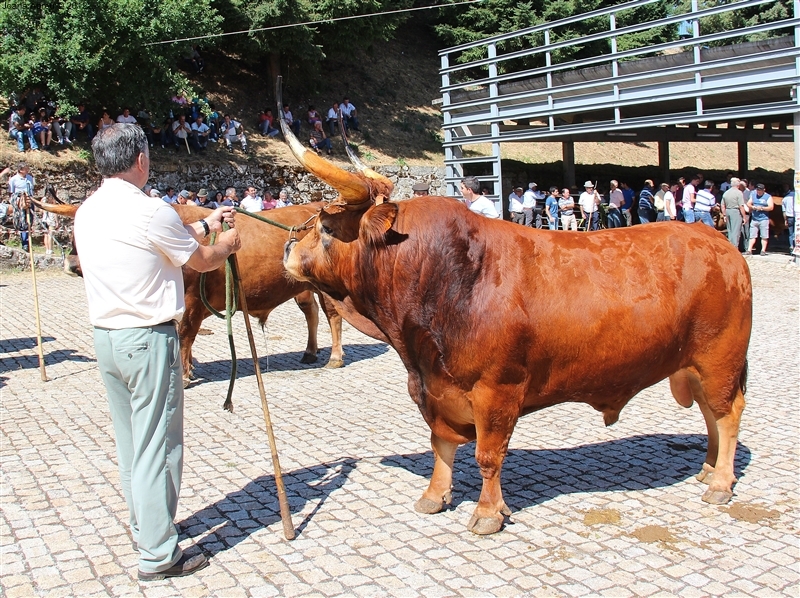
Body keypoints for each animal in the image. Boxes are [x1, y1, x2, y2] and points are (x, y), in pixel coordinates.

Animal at [280, 120, 752, 536]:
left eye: (326, 227)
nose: (286, 247)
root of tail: (721, 244)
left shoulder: (497, 390)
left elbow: (488, 455)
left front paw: (488, 513)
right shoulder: (433, 387)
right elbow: (441, 444)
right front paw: (434, 496)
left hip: (719, 359)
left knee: (727, 413)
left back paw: (719, 484)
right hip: (696, 365)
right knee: (711, 412)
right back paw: (708, 468)